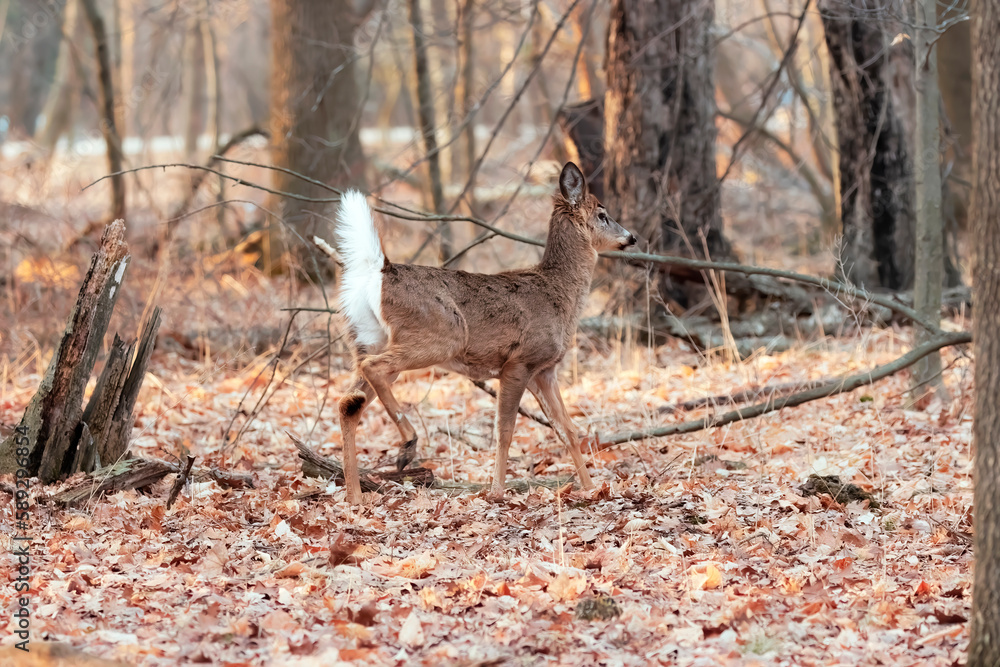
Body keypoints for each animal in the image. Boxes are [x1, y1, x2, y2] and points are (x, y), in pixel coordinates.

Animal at [320, 164, 632, 504]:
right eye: (602, 214)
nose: (631, 237)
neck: (559, 294)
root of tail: (379, 270)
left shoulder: (545, 370)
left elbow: (568, 430)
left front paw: (591, 488)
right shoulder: (519, 362)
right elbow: (504, 431)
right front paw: (496, 491)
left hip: (369, 337)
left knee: (349, 402)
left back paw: (355, 496)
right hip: (442, 334)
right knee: (372, 370)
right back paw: (408, 445)